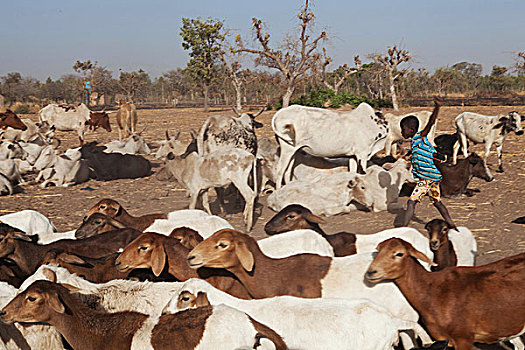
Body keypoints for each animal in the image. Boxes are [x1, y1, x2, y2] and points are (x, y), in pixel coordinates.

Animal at [364, 238, 524, 350]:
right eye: (378, 251)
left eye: (399, 254)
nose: (371, 272)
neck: (432, 291)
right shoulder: (442, 339)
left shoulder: (463, 337)